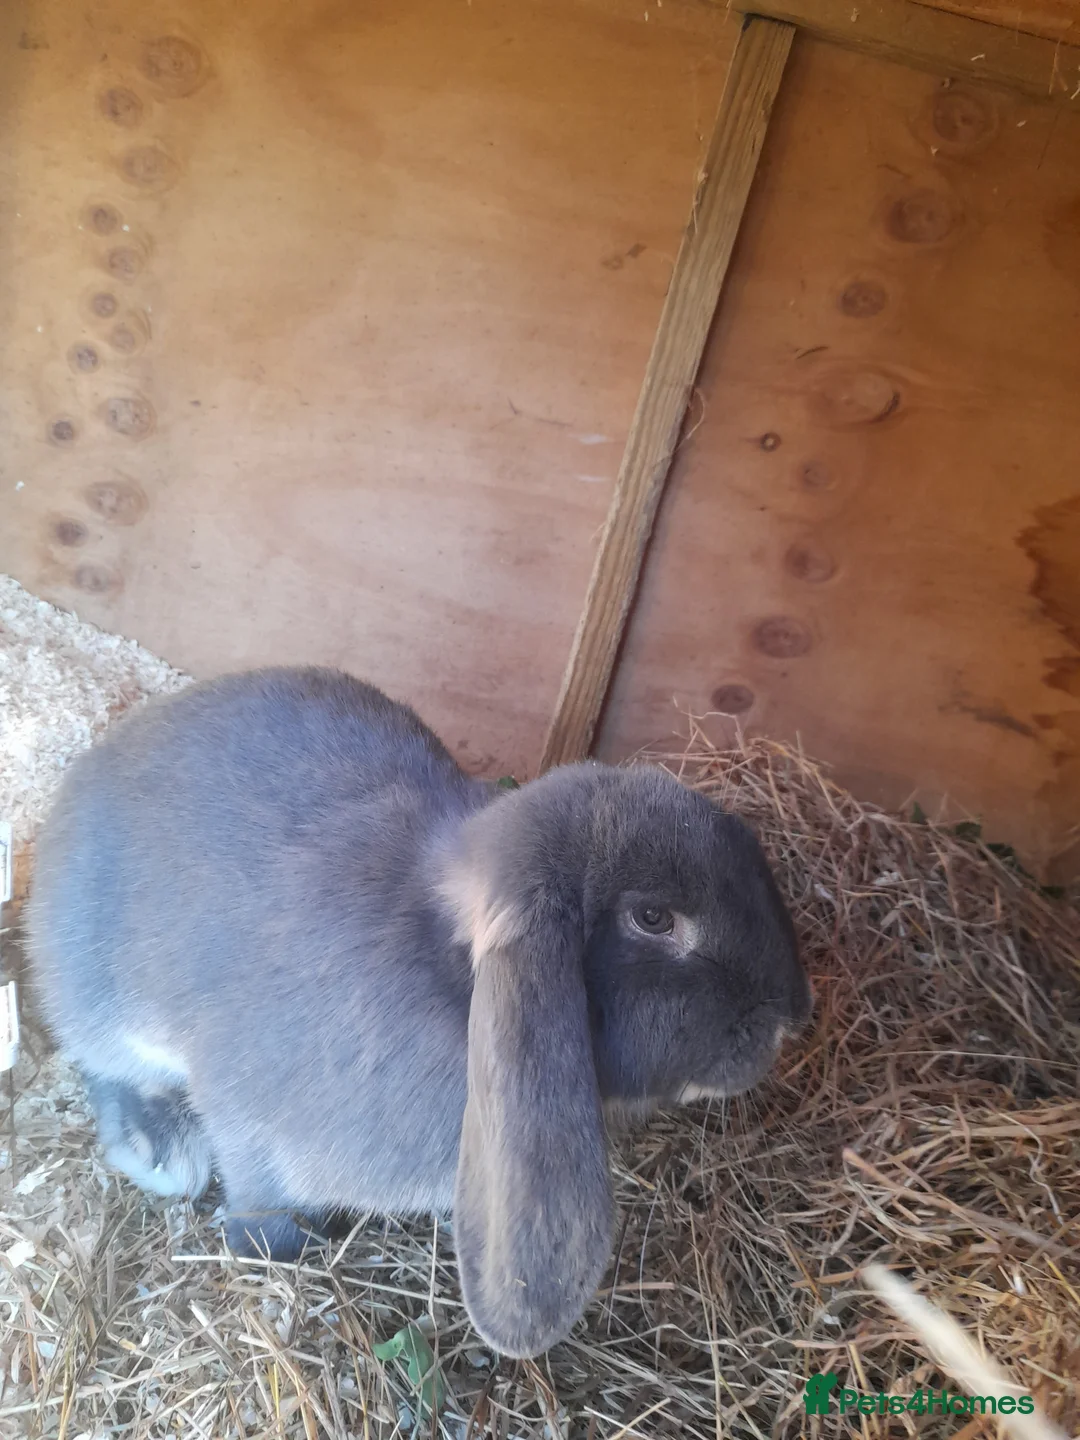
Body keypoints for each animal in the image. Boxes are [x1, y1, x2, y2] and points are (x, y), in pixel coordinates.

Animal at [25, 665, 811, 1358]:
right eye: (653, 919)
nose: (790, 1017)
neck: (451, 980)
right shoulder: (251, 1118)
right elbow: (258, 1197)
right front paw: (274, 1244)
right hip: (103, 1000)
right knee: (102, 1066)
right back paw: (160, 1147)